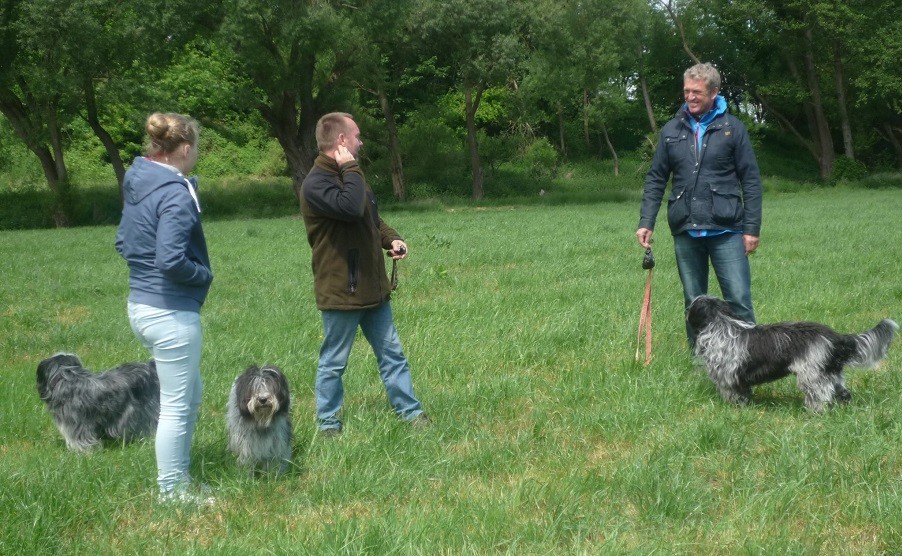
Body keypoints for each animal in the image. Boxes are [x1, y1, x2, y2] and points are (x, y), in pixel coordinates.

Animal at [688, 296, 900, 412]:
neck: (722, 325)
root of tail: (835, 337)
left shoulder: (729, 378)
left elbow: (733, 396)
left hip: (812, 375)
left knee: (821, 397)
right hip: (832, 374)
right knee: (843, 394)